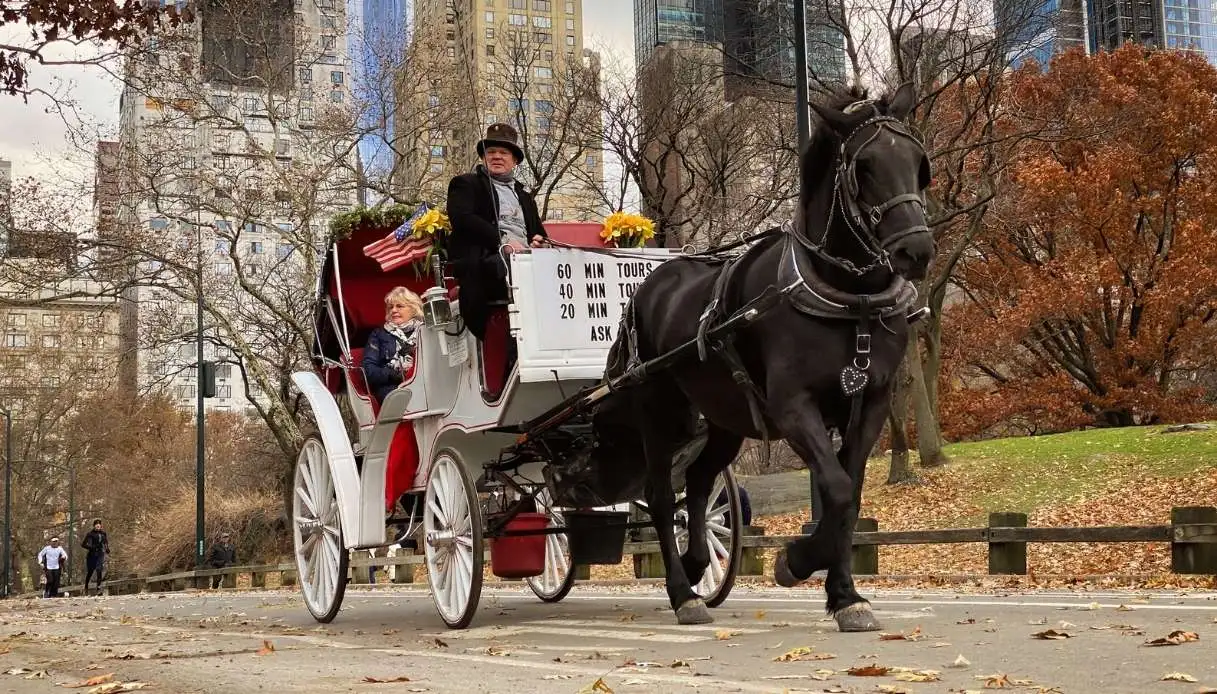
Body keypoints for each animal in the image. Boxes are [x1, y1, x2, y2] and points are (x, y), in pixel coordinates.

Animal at [600, 82, 934, 631]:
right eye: (864, 167)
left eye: (918, 161)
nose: (917, 251)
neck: (850, 301)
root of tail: (652, 283)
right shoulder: (793, 406)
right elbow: (836, 489)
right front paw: (796, 560)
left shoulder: (871, 404)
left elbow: (850, 493)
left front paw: (845, 595)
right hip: (657, 410)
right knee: (662, 495)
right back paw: (682, 591)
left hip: (723, 419)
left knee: (698, 483)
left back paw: (698, 563)